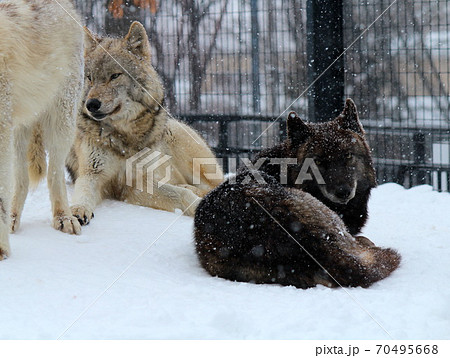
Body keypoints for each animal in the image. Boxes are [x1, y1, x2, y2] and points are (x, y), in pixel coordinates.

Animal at [0, 0, 84, 258]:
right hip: (17, 134)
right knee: (22, 181)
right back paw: (13, 219)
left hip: (61, 124)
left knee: (53, 173)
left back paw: (64, 218)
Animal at [64, 21, 223, 222]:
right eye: (90, 77)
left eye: (115, 76)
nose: (91, 104)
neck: (123, 137)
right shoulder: (92, 173)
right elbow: (82, 194)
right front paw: (77, 211)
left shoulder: (137, 181)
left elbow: (180, 194)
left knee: (215, 185)